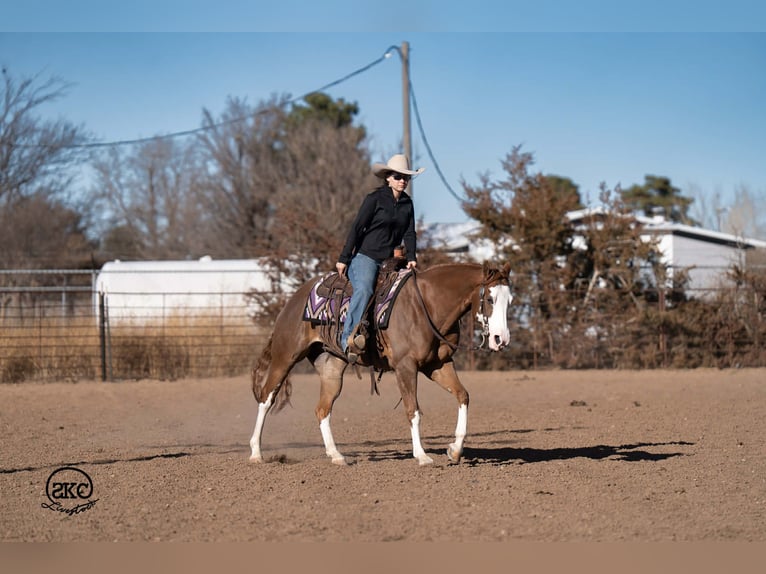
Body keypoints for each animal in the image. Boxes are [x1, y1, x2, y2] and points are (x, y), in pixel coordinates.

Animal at [249, 261, 512, 466]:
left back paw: (336, 455)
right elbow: (413, 409)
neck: (427, 305)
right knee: (266, 398)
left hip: (331, 367)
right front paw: (422, 456)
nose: (501, 339)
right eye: (490, 298)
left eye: (509, 300)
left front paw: (454, 451)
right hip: (285, 357)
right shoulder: (406, 367)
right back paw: (256, 453)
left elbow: (462, 396)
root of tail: (294, 299)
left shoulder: (438, 365)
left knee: (322, 409)